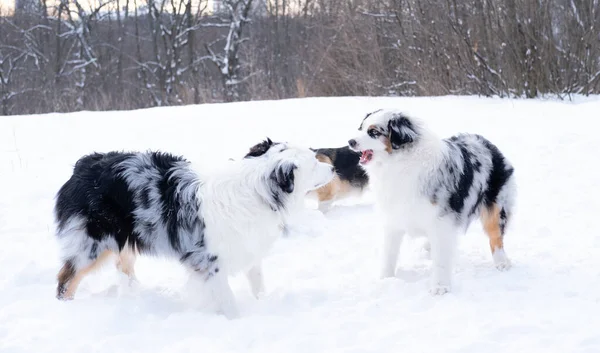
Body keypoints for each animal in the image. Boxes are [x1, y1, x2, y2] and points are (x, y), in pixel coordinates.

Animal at [54, 139, 336, 318]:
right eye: (314, 162)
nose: (333, 168)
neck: (256, 189)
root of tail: (84, 165)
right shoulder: (210, 261)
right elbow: (227, 300)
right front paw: (237, 322)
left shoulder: (248, 247)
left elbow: (258, 283)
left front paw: (263, 304)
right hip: (92, 244)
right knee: (66, 280)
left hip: (126, 238)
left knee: (124, 267)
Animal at [346, 108, 516, 294]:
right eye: (361, 128)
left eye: (374, 132)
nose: (350, 141)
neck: (400, 163)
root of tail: (487, 143)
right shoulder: (394, 217)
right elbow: (389, 253)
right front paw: (385, 279)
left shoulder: (442, 219)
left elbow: (441, 259)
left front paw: (440, 287)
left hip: (496, 206)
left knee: (496, 236)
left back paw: (502, 262)